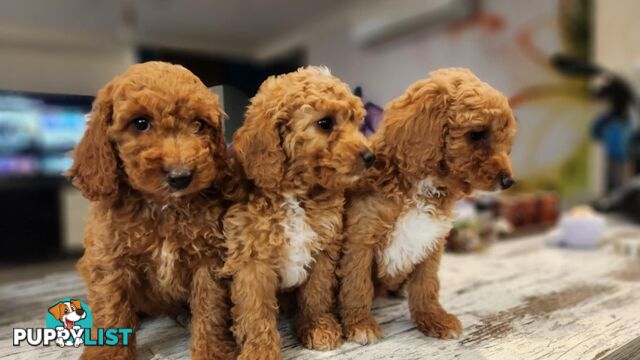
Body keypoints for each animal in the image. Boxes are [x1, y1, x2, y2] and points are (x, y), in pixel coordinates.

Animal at [67, 62, 235, 360]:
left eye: (199, 125)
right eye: (140, 123)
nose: (181, 176)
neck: (162, 205)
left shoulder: (209, 258)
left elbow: (210, 308)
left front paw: (211, 351)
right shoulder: (109, 260)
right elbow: (111, 310)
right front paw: (106, 354)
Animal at [224, 66, 376, 358]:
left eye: (356, 122)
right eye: (325, 123)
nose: (369, 157)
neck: (295, 194)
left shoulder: (323, 247)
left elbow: (316, 294)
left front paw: (317, 327)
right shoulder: (252, 259)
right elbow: (256, 311)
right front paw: (260, 349)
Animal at [338, 68, 516, 346]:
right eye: (476, 134)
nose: (508, 181)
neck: (423, 186)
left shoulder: (431, 242)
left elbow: (426, 285)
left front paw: (434, 319)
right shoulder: (360, 239)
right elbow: (357, 285)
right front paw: (361, 325)